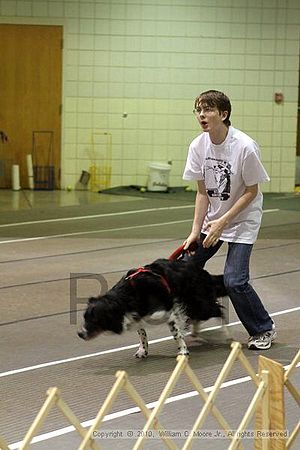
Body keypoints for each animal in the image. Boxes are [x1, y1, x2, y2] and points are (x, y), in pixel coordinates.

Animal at [78, 256, 230, 358]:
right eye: (85, 318)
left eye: (95, 320)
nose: (80, 334)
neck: (127, 297)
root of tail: (204, 273)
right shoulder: (138, 315)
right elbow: (142, 334)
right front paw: (143, 351)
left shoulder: (168, 311)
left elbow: (176, 334)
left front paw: (183, 350)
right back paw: (195, 331)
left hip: (201, 304)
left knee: (219, 311)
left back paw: (226, 334)